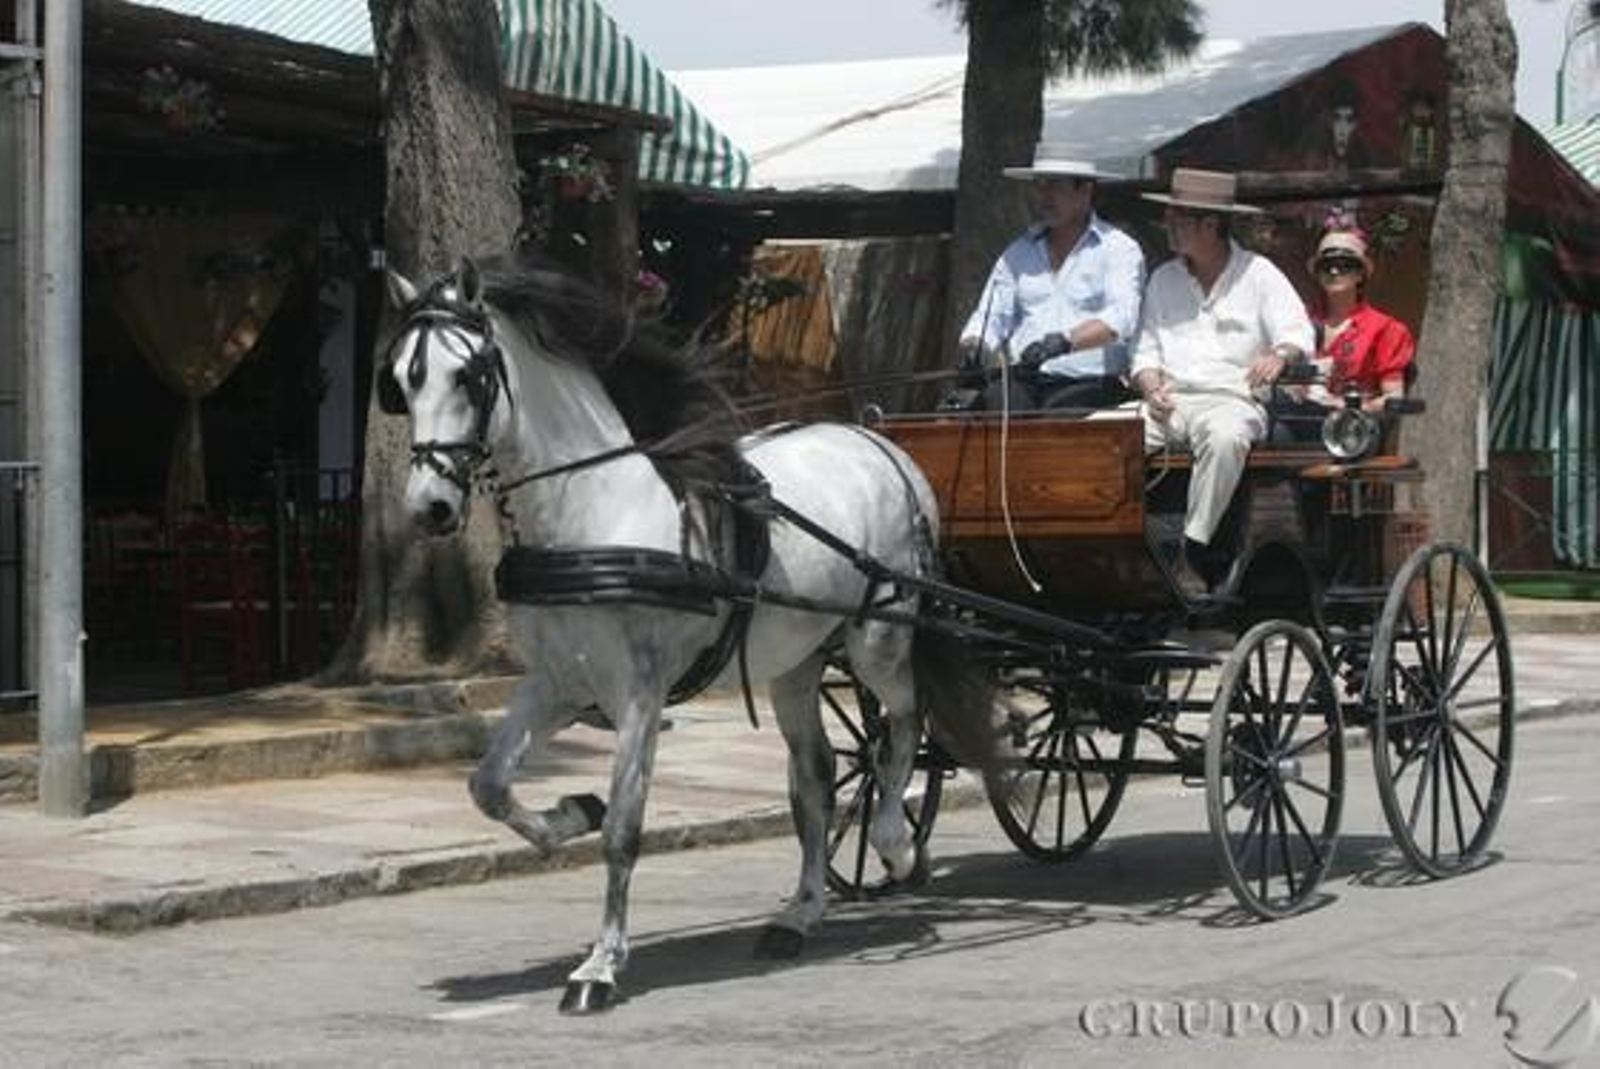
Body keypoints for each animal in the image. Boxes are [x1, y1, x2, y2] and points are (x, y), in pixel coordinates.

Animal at [377, 254, 950, 1014]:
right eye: (402, 379)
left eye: (469, 375)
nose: (431, 508)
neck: (594, 515)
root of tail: (882, 443)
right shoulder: (557, 682)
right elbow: (489, 786)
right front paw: (572, 812)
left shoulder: (640, 694)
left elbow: (625, 830)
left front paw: (599, 966)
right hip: (795, 662)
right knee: (817, 777)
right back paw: (800, 913)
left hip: (878, 638)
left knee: (905, 726)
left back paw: (895, 844)